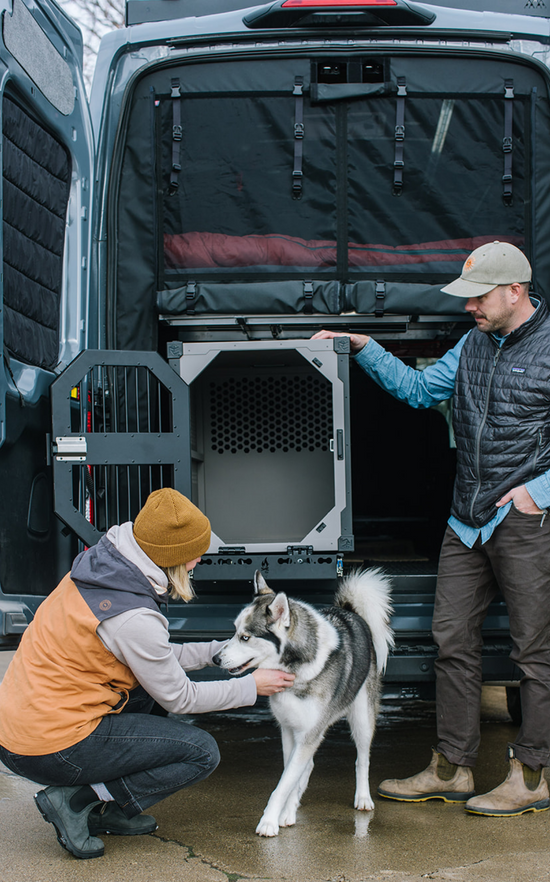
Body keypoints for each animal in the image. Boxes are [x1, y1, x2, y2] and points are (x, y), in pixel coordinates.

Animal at [213, 568, 394, 836]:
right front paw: (286, 812)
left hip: (362, 718)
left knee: (362, 759)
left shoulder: (308, 734)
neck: (296, 669)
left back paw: (363, 797)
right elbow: (290, 776)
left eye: (245, 637)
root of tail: (350, 611)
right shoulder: (289, 730)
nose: (215, 658)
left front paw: (269, 821)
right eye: (235, 632)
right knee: (307, 767)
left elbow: (285, 783)